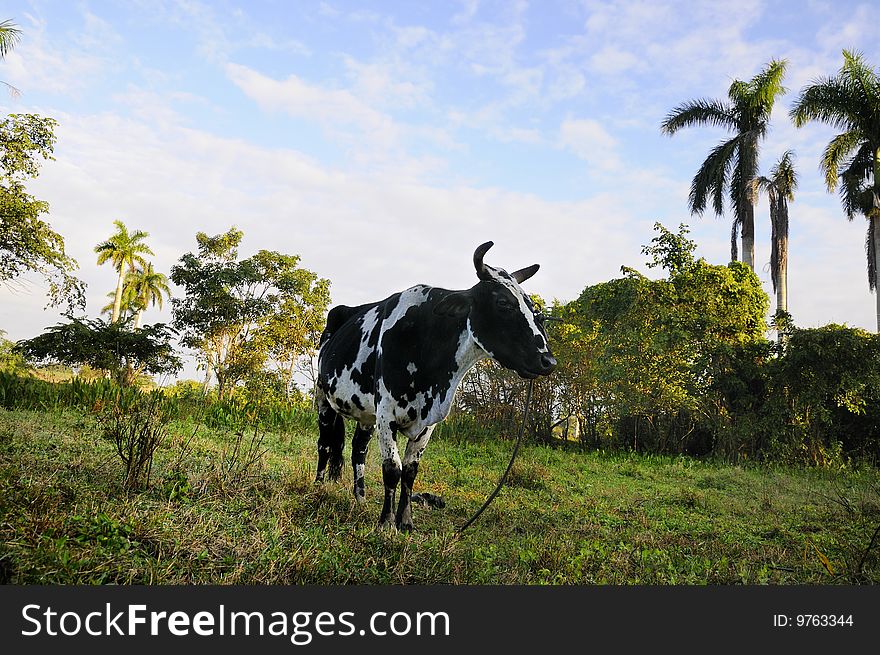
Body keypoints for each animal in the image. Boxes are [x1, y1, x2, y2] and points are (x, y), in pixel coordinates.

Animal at [312, 242, 552, 532]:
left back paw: (360, 498)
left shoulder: (427, 423)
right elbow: (392, 469)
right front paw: (386, 523)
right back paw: (318, 487)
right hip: (323, 397)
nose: (548, 361)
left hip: (366, 413)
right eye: (503, 302)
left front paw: (406, 521)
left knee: (358, 449)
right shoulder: (387, 413)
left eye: (532, 308)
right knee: (325, 444)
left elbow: (409, 471)